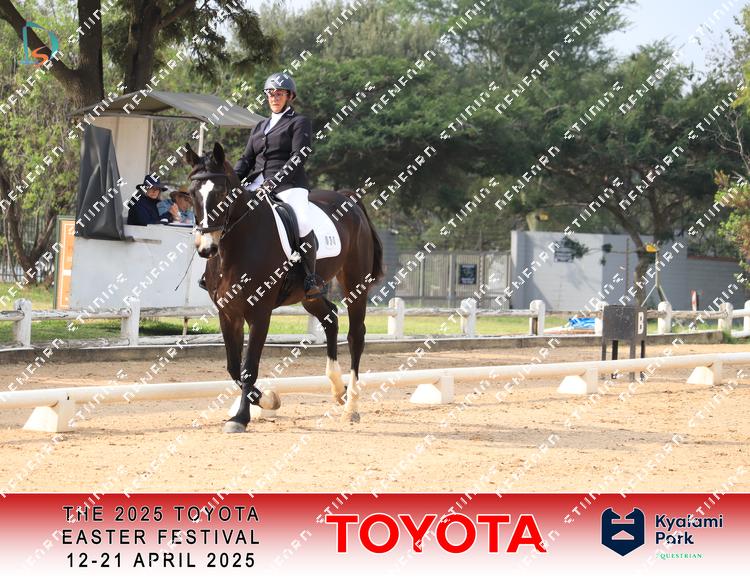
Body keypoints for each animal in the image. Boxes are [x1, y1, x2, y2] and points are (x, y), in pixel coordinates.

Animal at [184, 142, 384, 433]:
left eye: (221, 192)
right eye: (191, 193)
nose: (206, 248)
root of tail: (349, 199)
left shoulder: (260, 312)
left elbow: (248, 367)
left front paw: (241, 417)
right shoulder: (228, 313)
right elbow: (234, 367)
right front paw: (267, 399)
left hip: (356, 284)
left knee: (355, 335)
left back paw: (351, 408)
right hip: (309, 295)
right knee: (330, 317)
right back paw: (339, 389)